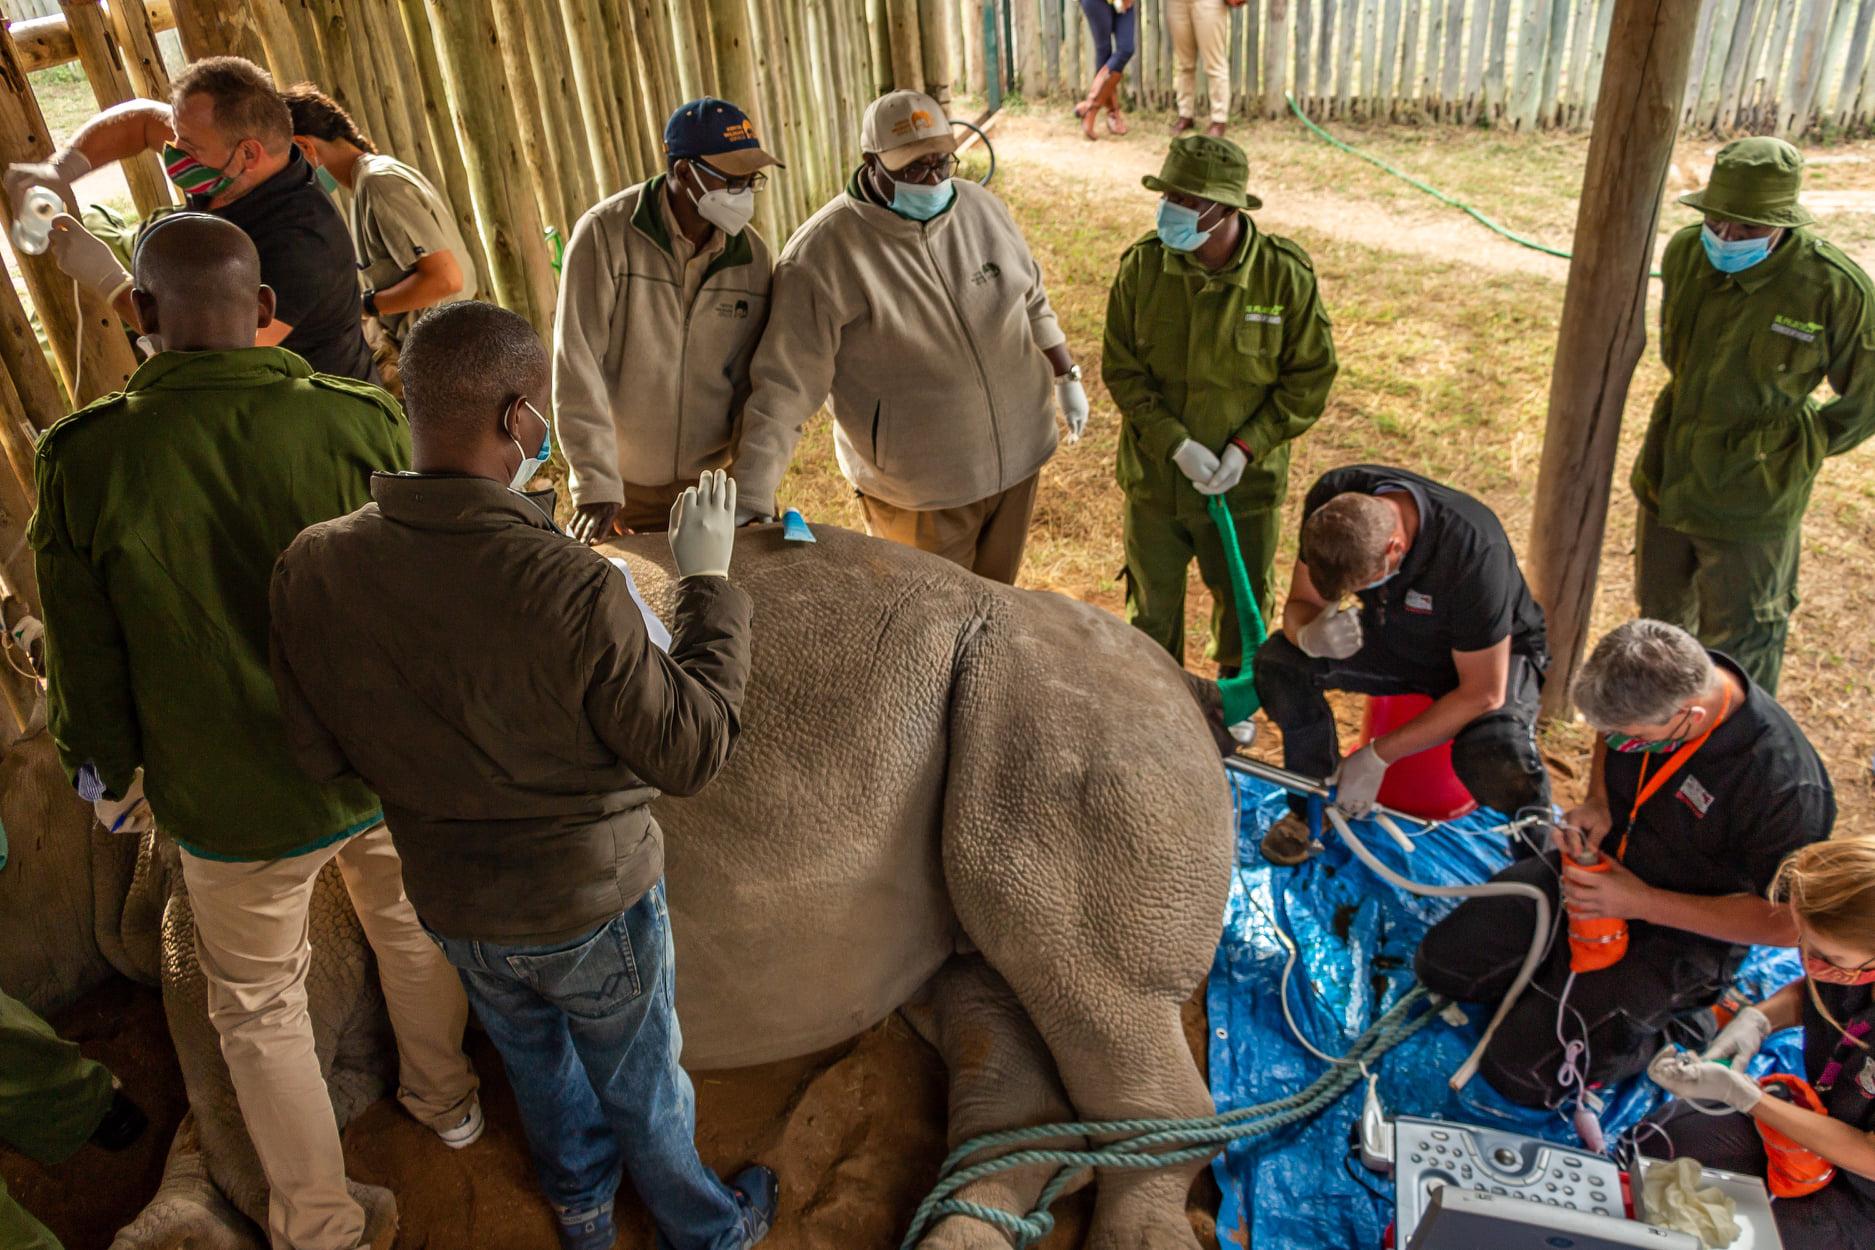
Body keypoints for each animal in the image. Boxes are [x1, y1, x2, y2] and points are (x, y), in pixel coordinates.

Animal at [7, 528, 1237, 1250]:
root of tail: (1190, 696)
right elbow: (277, 1090)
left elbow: (236, 1080)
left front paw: (325, 1217)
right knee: (990, 996)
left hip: (1064, 712)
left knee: (1086, 986)